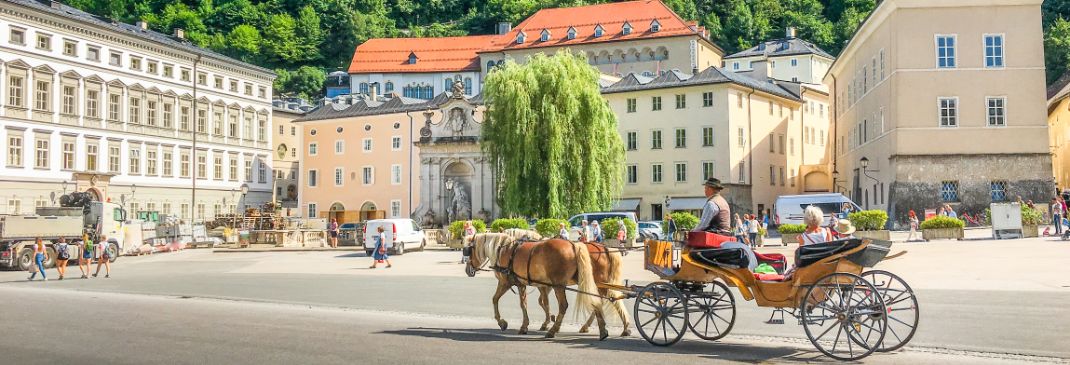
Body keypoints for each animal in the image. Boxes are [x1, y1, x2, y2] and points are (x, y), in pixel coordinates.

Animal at [464, 233, 607, 338]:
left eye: (468, 251)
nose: (467, 270)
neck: (505, 250)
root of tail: (573, 245)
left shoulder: (505, 282)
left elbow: (495, 299)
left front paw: (502, 322)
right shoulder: (522, 284)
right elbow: (525, 304)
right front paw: (525, 325)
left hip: (558, 285)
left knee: (564, 305)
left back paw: (553, 330)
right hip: (584, 280)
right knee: (595, 301)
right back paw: (602, 330)